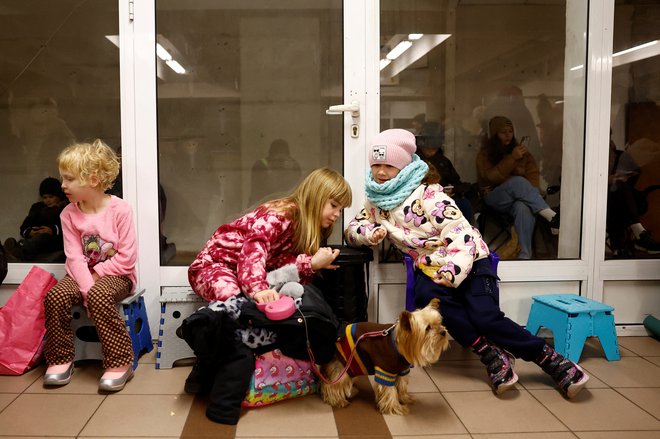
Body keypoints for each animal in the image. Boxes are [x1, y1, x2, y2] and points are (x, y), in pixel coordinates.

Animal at [320, 300, 448, 416]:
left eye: (440, 323)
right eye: (427, 328)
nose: (443, 332)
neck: (399, 346)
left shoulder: (402, 370)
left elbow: (401, 386)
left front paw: (405, 399)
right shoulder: (386, 370)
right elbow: (390, 391)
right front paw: (396, 408)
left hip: (355, 363)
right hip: (348, 361)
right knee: (333, 383)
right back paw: (336, 400)